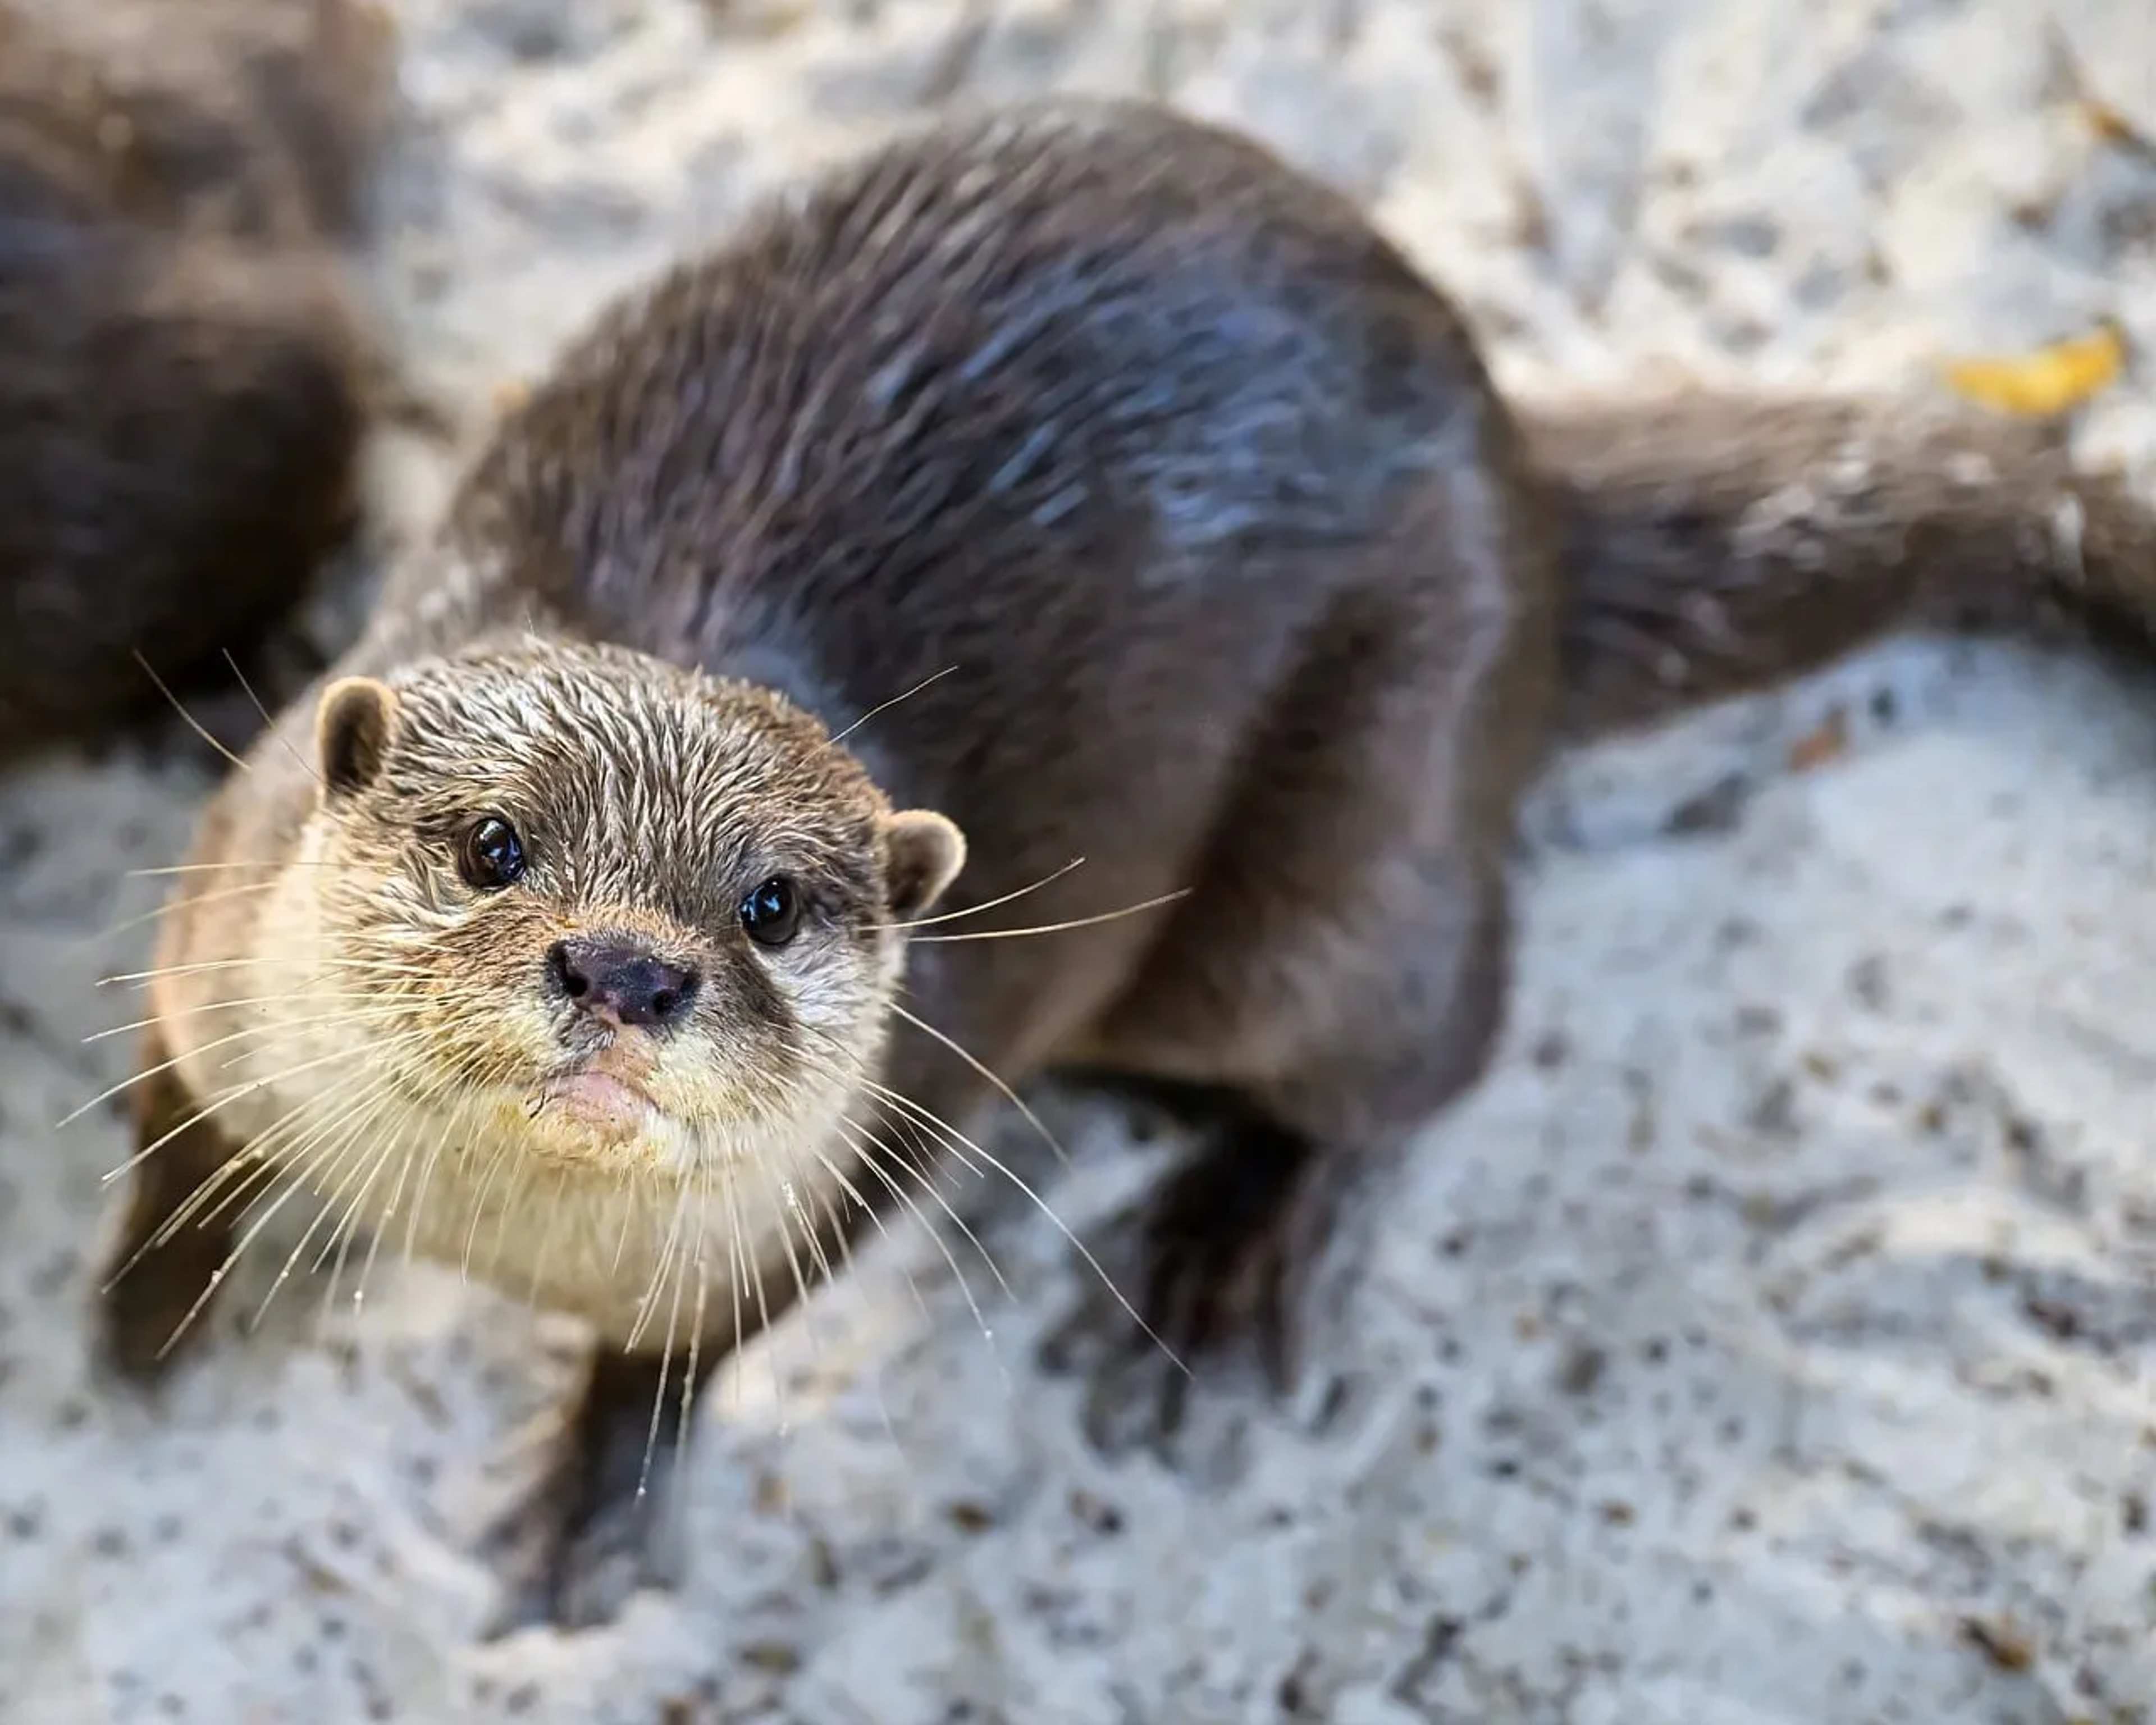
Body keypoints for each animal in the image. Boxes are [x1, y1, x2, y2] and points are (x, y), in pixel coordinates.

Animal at [87, 98, 2156, 1626]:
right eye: (495, 842)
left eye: (770, 906)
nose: (627, 969)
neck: (488, 1240)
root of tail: (1524, 484)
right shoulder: (207, 951)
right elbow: (172, 1141)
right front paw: (142, 1322)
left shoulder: (875, 1146)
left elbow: (681, 1359)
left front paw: (584, 1519)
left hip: (1348, 862)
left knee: (1433, 1033)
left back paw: (1221, 1283)